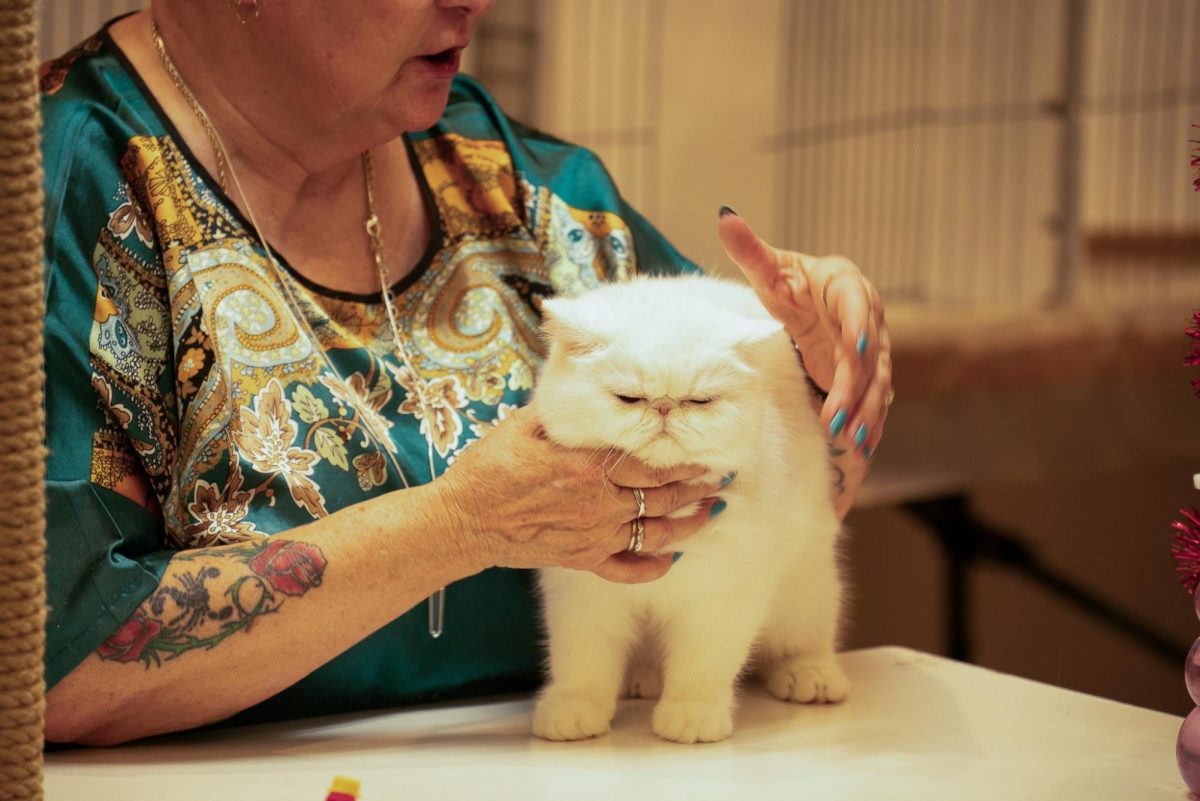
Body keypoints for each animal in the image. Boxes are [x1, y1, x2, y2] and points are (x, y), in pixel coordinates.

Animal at [530, 275, 849, 743]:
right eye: (628, 398)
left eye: (701, 401)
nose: (664, 406)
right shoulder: (582, 595)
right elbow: (581, 662)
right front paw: (573, 711)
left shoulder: (720, 596)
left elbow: (702, 667)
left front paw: (691, 717)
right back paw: (641, 679)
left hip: (805, 588)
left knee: (805, 640)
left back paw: (811, 676)